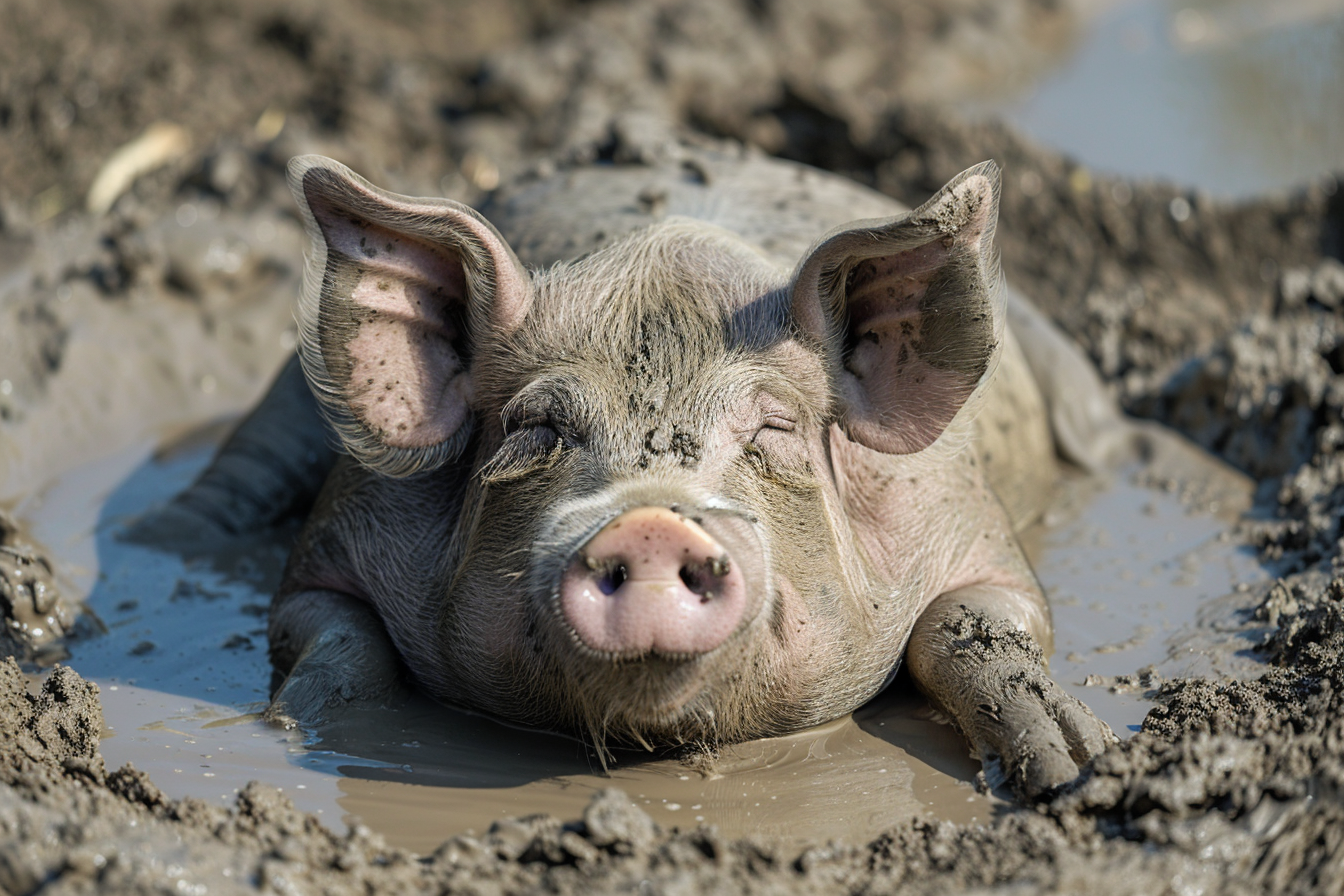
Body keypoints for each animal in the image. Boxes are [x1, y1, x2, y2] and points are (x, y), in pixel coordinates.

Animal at [151, 146, 1124, 799]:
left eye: (771, 428)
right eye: (539, 427)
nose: (651, 523)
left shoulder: (970, 525)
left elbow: (977, 623)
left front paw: (1078, 768)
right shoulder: (336, 539)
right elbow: (333, 635)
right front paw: (284, 729)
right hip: (286, 394)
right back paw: (160, 535)